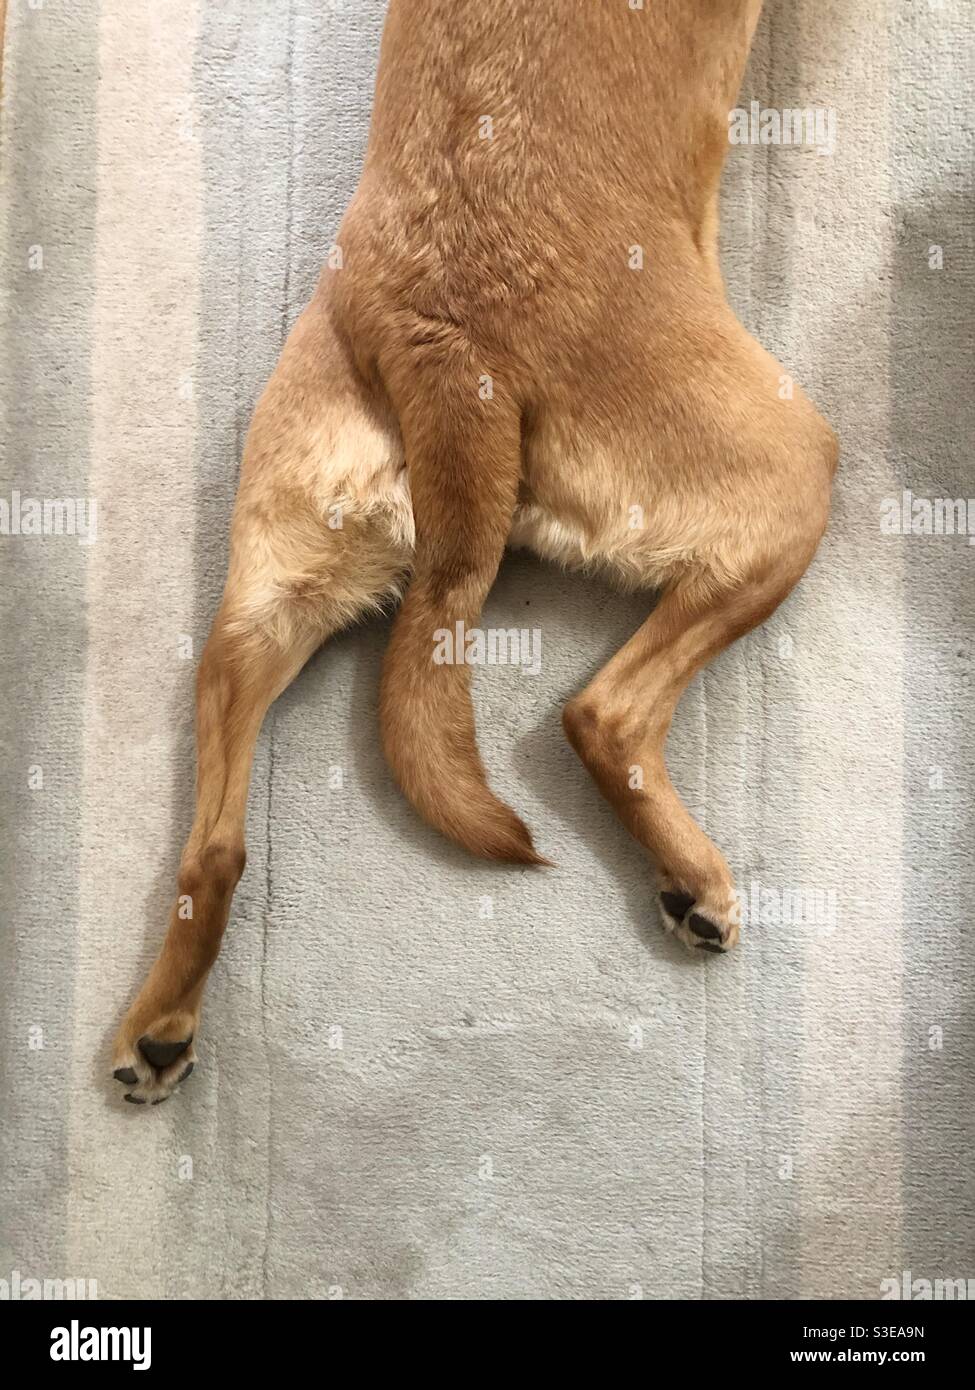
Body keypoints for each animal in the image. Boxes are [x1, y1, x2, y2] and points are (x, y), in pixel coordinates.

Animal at [108, 2, 834, 1106]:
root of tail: (447, 352)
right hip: (795, 470)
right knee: (603, 713)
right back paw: (692, 881)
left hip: (270, 596)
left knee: (214, 848)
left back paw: (157, 1026)